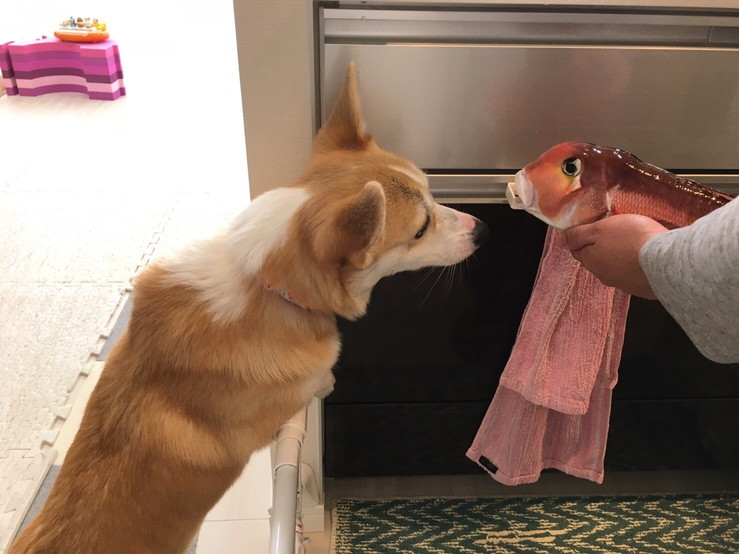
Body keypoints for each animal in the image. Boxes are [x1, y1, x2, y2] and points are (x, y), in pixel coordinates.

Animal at [9, 63, 488, 554]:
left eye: (431, 191)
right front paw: (327, 382)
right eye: (421, 228)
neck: (264, 285)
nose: (482, 228)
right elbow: (316, 381)